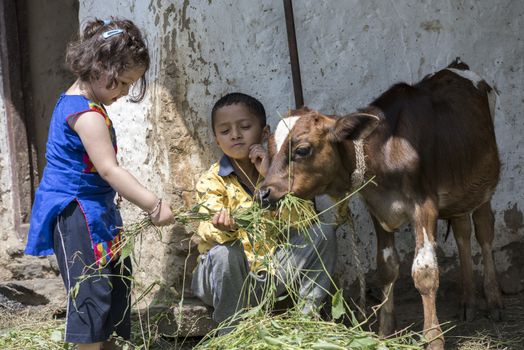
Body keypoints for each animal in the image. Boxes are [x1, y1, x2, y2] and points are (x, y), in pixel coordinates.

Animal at [260, 58, 502, 348]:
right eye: (270, 150)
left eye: (302, 150)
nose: (264, 193)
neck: (387, 151)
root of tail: (457, 65)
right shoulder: (378, 209)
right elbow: (387, 268)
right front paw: (385, 332)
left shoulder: (424, 206)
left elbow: (425, 272)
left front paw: (433, 338)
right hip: (460, 189)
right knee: (462, 231)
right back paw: (468, 301)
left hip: (483, 184)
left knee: (484, 231)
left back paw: (493, 299)